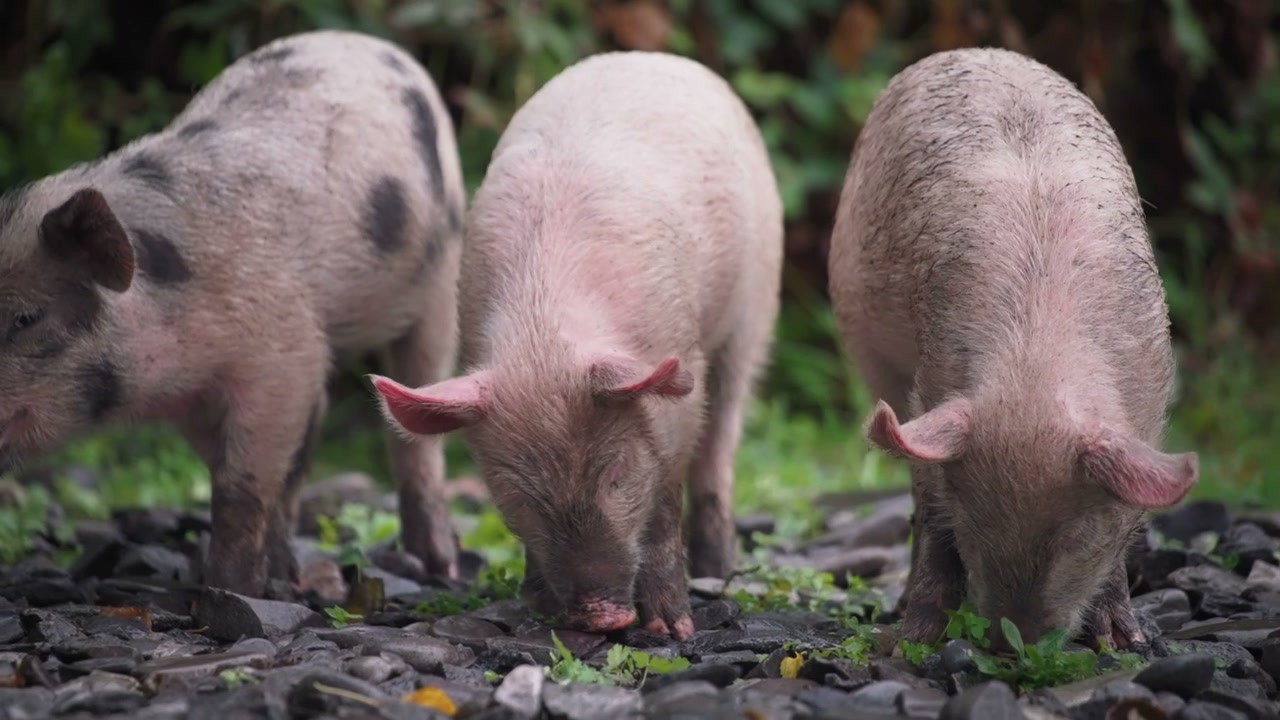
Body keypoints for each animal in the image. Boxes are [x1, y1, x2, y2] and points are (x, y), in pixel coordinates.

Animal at [0, 30, 466, 597]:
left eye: (27, 318)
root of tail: (372, 43)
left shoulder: (284, 355)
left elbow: (240, 486)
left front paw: (228, 591)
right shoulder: (203, 398)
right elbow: (250, 474)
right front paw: (274, 580)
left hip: (441, 276)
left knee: (417, 426)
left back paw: (438, 567)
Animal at [370, 51, 784, 639]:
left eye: (615, 475)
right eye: (520, 493)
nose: (601, 616)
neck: (544, 337)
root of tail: (655, 57)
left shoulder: (677, 392)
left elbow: (664, 503)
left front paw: (672, 631)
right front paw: (537, 607)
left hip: (755, 308)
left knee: (721, 442)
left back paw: (719, 570)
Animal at [827, 47, 1199, 650]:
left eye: (1079, 535)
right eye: (973, 517)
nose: (1011, 644)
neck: (1038, 368)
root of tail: (970, 51)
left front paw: (1125, 643)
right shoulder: (931, 383)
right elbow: (932, 520)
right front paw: (913, 641)